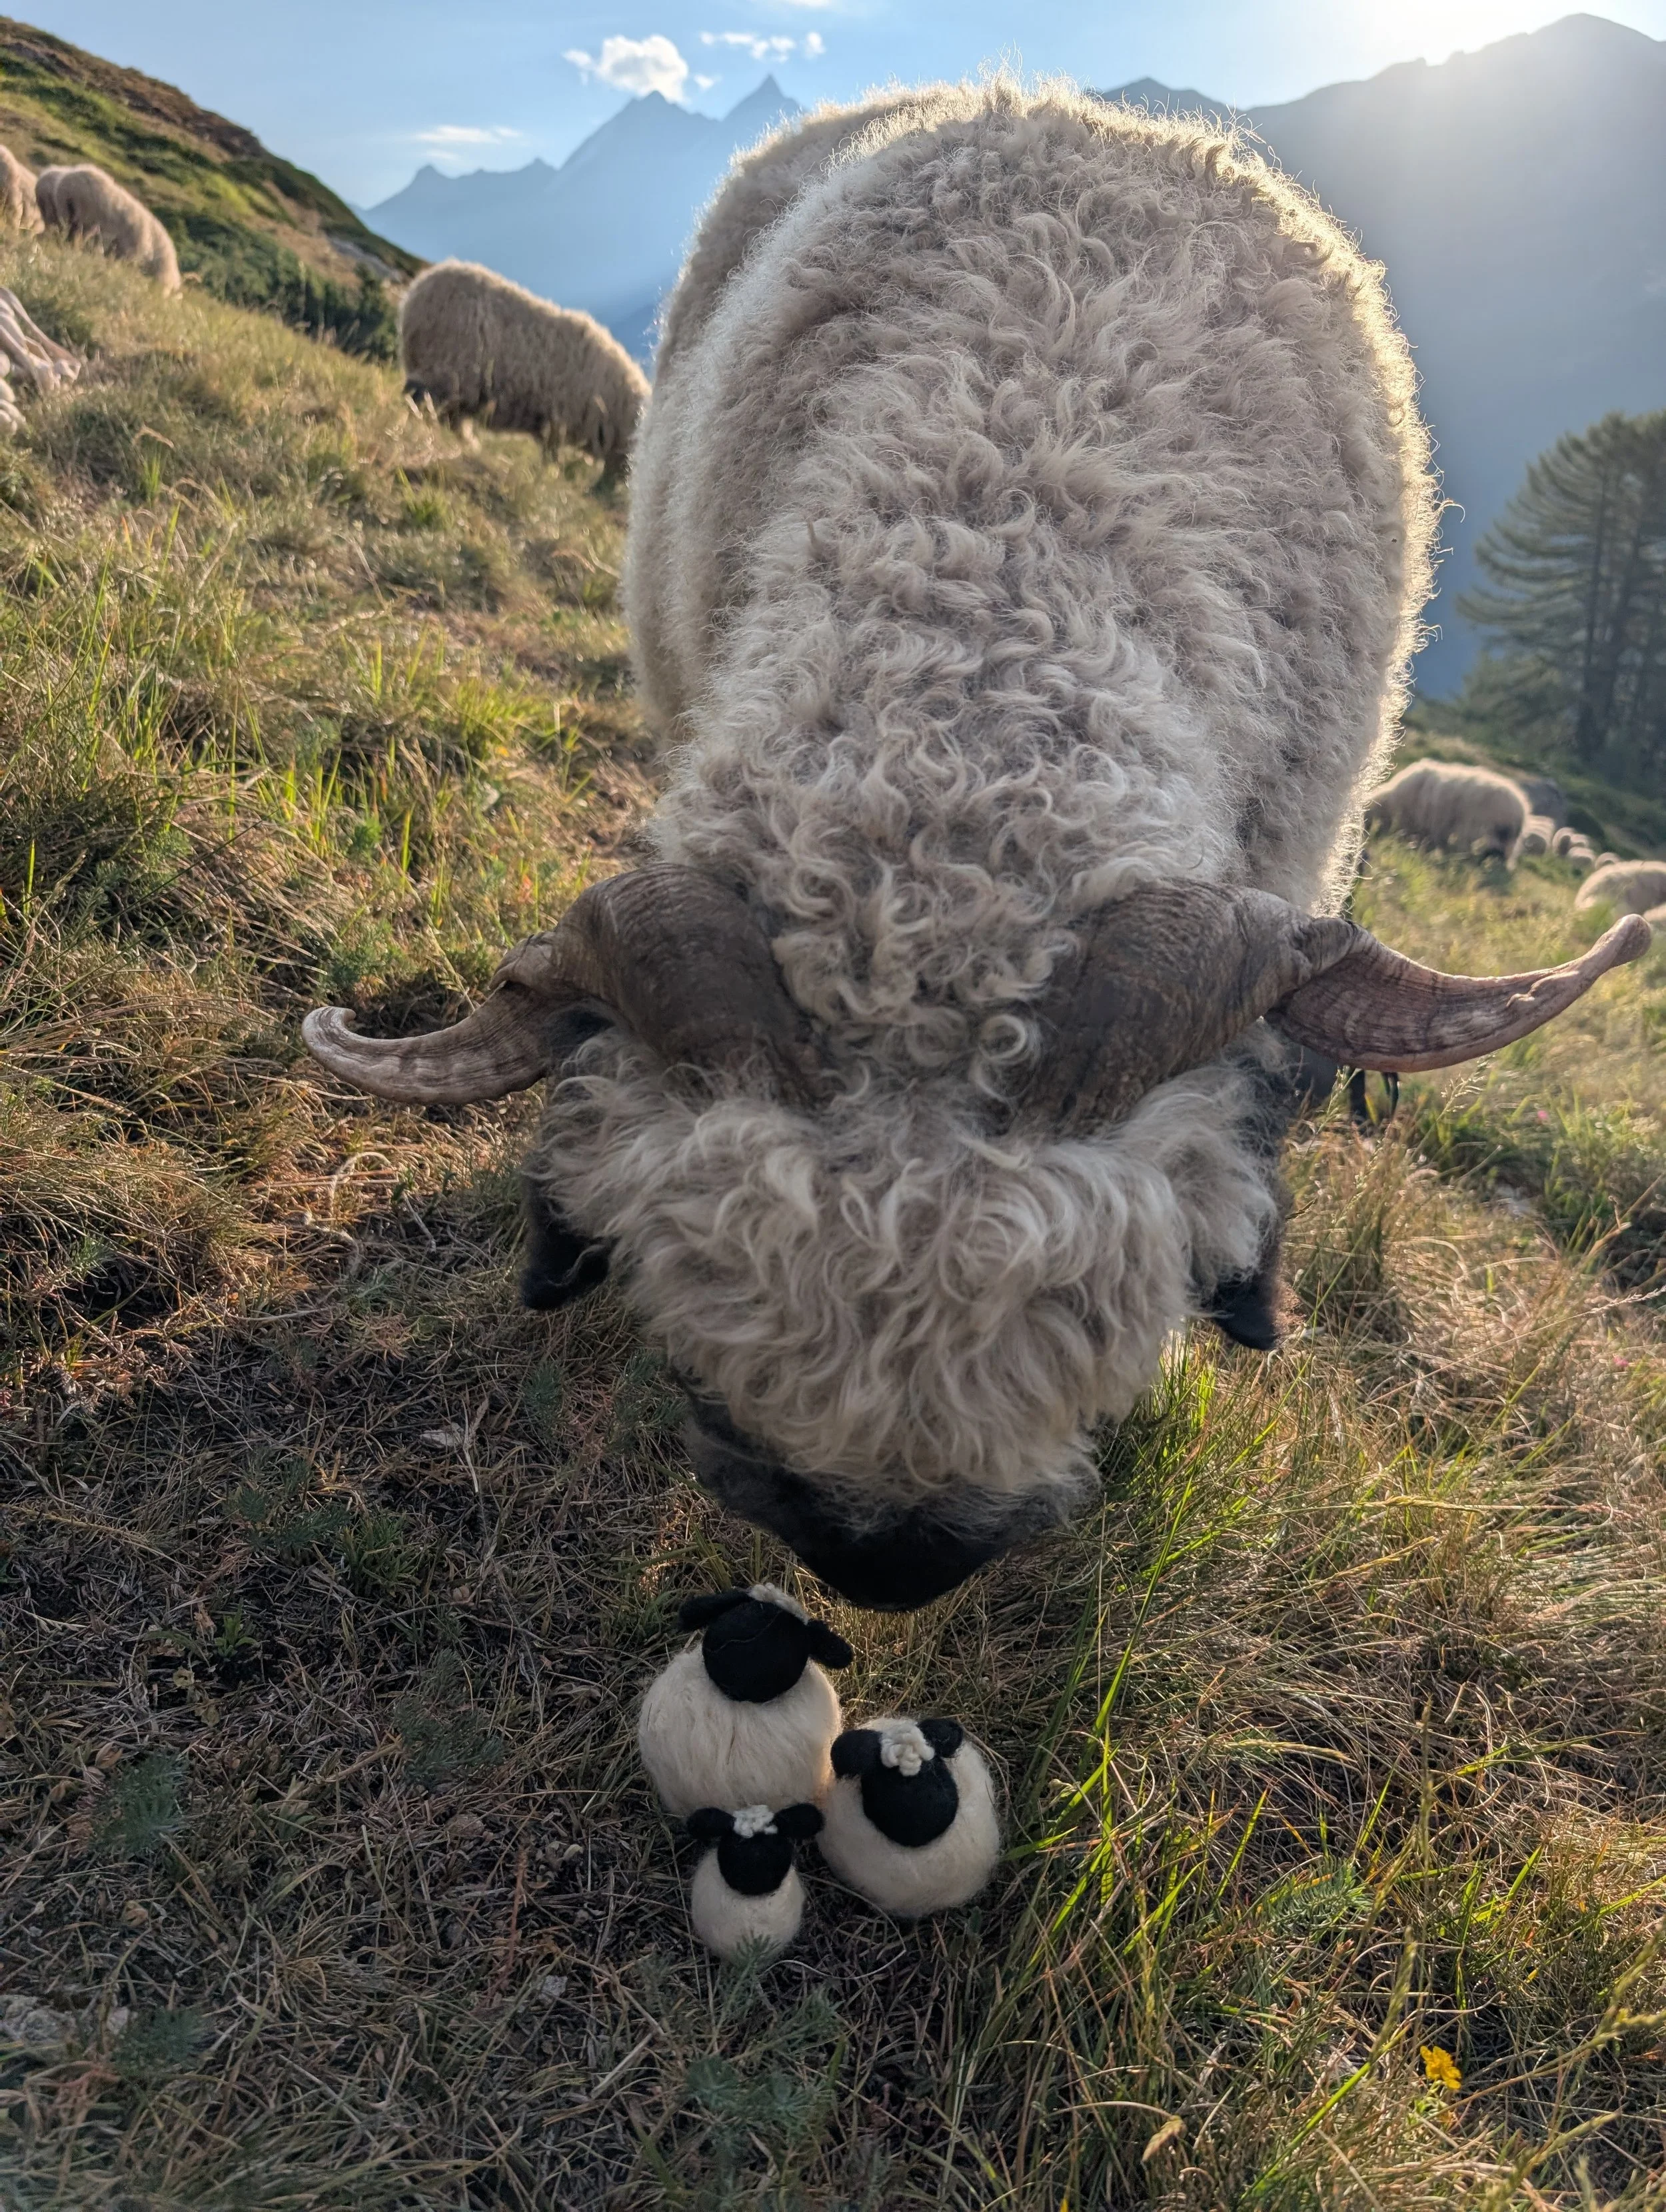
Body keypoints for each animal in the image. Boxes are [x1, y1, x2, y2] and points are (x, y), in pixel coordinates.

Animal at [399, 260, 648, 475]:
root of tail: (419, 290)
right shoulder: (559, 420)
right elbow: (552, 453)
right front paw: (552, 473)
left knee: (449, 413)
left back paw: (466, 442)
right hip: (446, 367)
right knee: (420, 400)